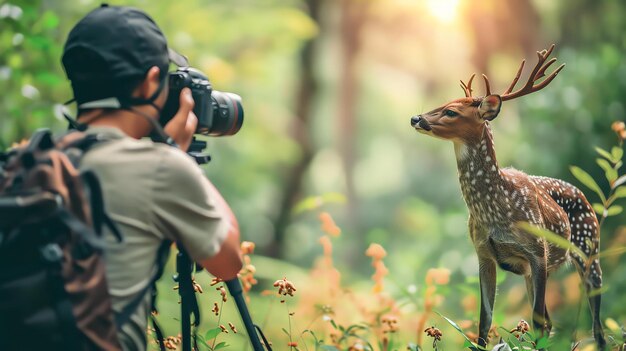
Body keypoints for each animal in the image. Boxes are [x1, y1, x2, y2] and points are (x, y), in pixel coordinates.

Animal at [410, 44, 604, 350]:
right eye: (443, 102)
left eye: (451, 112)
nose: (416, 118)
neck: (495, 211)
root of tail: (583, 195)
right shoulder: (483, 253)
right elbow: (484, 321)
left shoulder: (538, 251)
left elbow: (536, 321)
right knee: (553, 321)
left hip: (588, 247)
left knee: (596, 323)